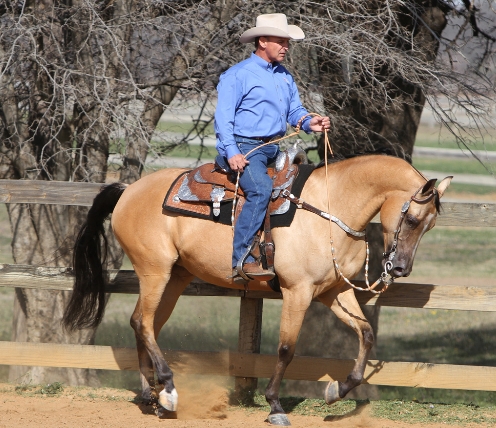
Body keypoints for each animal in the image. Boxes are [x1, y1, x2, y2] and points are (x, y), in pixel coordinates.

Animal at [64, 153, 452, 424]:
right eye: (412, 219)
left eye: (430, 226)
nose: (399, 269)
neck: (330, 211)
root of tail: (127, 190)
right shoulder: (298, 292)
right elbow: (285, 349)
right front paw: (275, 404)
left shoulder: (333, 292)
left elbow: (367, 334)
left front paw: (336, 390)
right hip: (154, 271)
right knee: (143, 324)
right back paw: (169, 391)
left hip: (175, 277)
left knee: (145, 325)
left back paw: (153, 397)